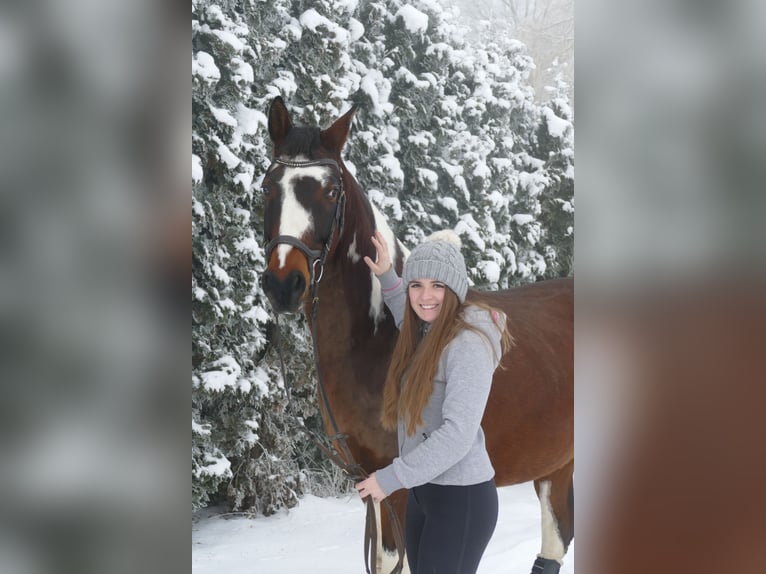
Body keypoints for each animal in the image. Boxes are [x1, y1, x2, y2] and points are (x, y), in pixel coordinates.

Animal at [260, 99, 572, 574]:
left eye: (330, 192)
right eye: (267, 188)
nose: (283, 285)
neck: (379, 341)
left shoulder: (399, 486)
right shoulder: (368, 483)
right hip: (557, 465)